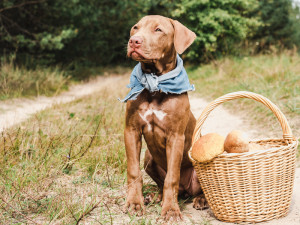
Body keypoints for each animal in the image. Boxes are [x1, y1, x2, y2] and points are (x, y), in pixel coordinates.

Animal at [124, 14, 209, 221]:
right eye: (135, 27)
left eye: (158, 30)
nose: (134, 41)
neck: (155, 82)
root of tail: (185, 191)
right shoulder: (131, 130)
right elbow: (133, 171)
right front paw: (135, 203)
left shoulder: (175, 137)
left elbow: (172, 177)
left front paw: (170, 210)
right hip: (149, 157)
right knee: (161, 183)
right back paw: (156, 197)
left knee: (199, 188)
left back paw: (201, 199)